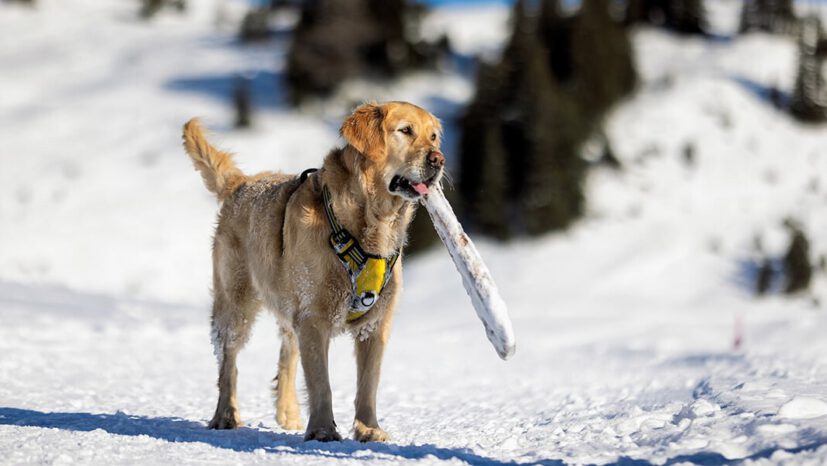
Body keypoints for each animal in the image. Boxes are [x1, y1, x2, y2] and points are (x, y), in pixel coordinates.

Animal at [182, 103, 446, 444]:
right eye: (405, 130)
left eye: (434, 136)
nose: (438, 159)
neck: (365, 225)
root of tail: (242, 183)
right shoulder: (314, 317)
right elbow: (321, 382)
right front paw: (323, 429)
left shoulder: (374, 324)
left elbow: (368, 384)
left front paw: (369, 429)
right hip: (235, 304)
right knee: (229, 362)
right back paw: (225, 415)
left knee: (286, 353)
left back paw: (288, 413)